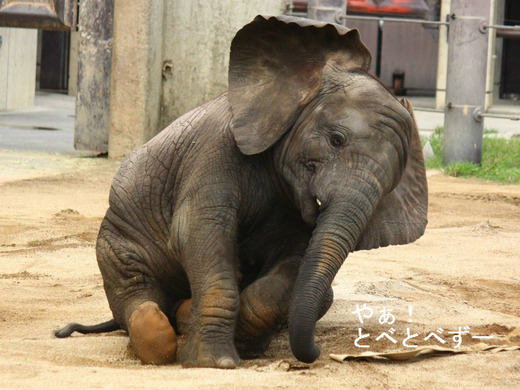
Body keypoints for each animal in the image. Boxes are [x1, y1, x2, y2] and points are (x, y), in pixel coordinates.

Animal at [55, 14, 426, 368]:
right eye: (336, 139)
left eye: (391, 183)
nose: (318, 351)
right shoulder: (213, 147)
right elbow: (200, 231)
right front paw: (215, 362)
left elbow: (297, 262)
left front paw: (238, 343)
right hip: (116, 239)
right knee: (133, 281)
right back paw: (156, 334)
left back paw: (184, 316)